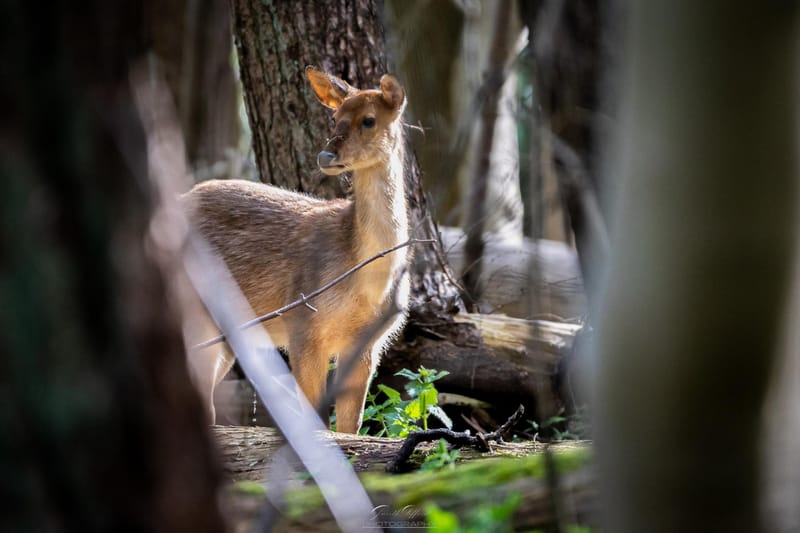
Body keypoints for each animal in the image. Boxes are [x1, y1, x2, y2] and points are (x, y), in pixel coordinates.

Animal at [182, 68, 410, 434]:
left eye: (369, 120)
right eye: (335, 117)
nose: (327, 156)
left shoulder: (369, 342)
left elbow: (351, 425)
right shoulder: (302, 324)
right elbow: (315, 420)